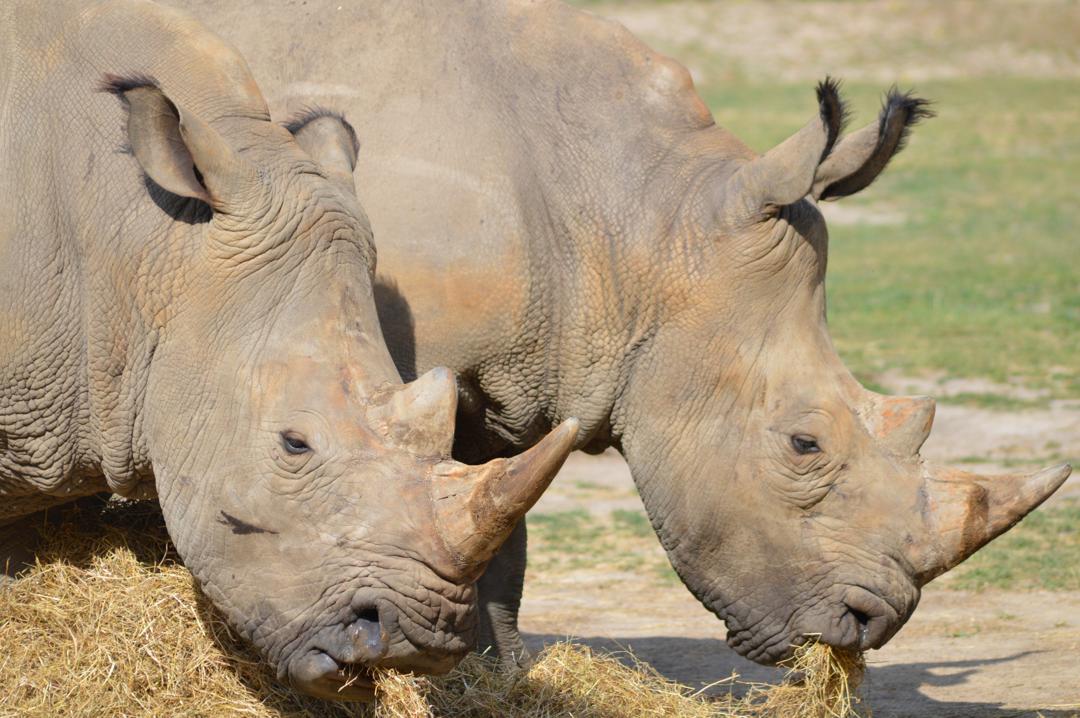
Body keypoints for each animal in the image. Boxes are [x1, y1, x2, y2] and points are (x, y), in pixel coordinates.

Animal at [179, 0, 1071, 665]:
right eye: (803, 445)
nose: (872, 624)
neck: (638, 222)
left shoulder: (510, 373)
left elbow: (497, 526)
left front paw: (495, 675)